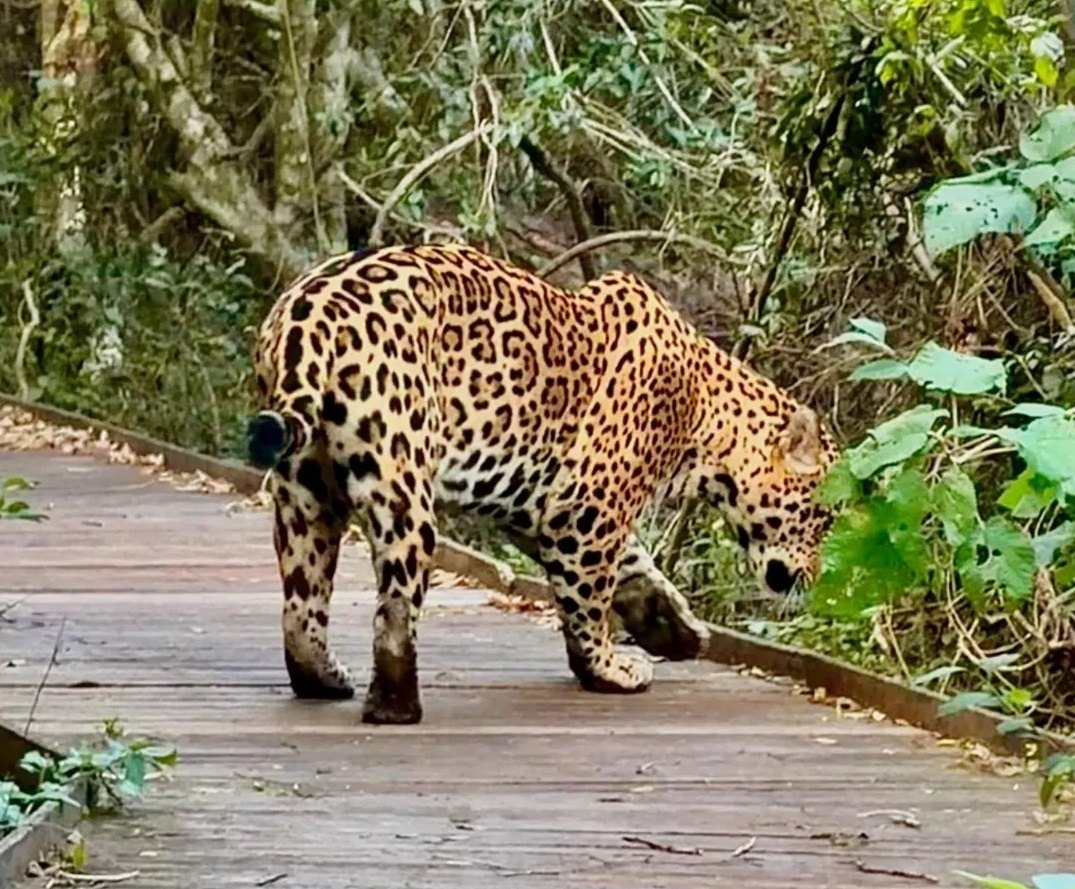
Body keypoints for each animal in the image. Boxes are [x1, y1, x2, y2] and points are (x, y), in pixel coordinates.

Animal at [248, 243, 838, 725]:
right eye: (822, 517)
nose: (813, 577)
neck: (707, 417)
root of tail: (303, 321)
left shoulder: (540, 506)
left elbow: (635, 569)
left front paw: (675, 629)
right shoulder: (585, 510)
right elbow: (592, 600)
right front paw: (607, 669)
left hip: (306, 491)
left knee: (301, 603)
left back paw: (323, 679)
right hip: (401, 485)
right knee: (395, 605)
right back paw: (396, 706)